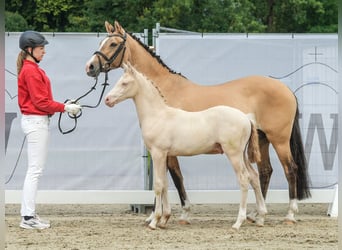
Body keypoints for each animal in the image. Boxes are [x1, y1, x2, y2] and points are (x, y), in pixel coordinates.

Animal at [85, 20, 310, 224]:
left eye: (113, 43)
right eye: (101, 42)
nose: (90, 66)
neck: (163, 90)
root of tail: (285, 89)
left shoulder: (166, 151)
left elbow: (175, 178)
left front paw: (175, 214)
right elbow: (168, 180)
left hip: (279, 140)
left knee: (290, 169)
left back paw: (289, 215)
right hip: (262, 140)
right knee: (264, 172)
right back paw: (256, 215)